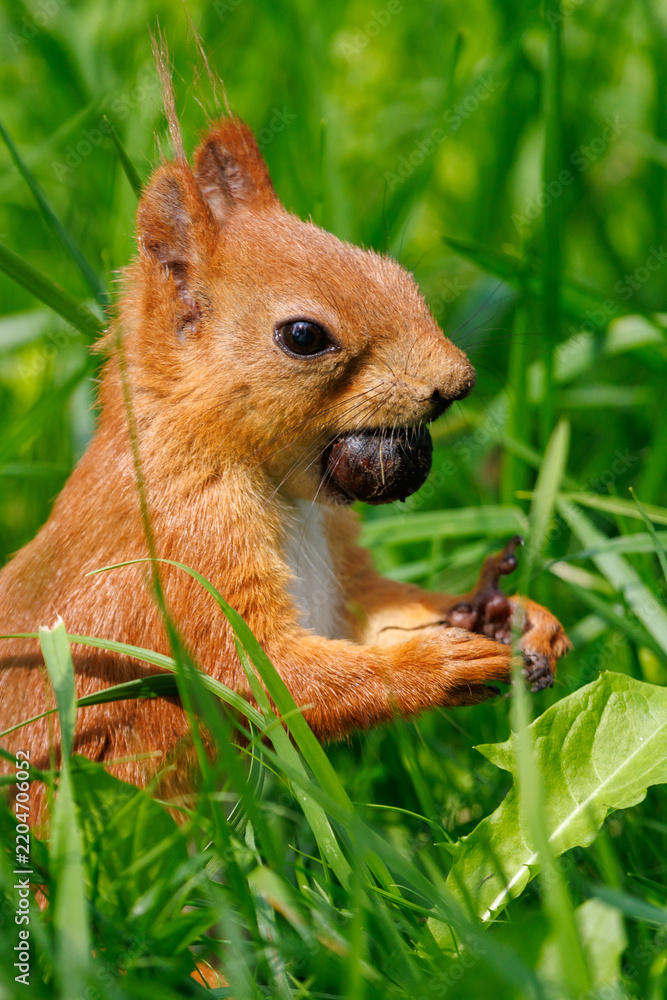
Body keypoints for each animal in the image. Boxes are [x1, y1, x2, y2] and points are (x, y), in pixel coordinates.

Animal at [0, 116, 570, 824]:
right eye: (303, 336)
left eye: (398, 273)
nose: (456, 383)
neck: (282, 489)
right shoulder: (184, 558)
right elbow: (261, 677)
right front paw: (438, 666)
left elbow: (362, 612)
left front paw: (505, 614)